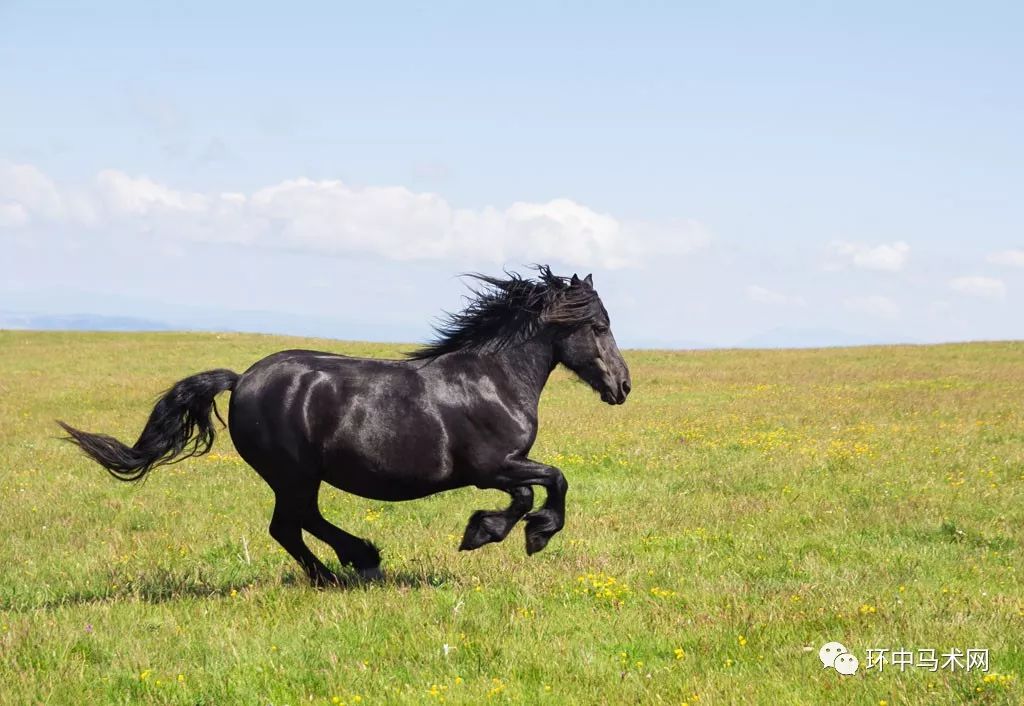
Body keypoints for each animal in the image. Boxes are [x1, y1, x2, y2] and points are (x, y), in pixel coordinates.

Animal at [58, 264, 630, 582]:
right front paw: (519, 534)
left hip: (296, 476)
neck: (492, 379)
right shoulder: (493, 466)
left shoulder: (503, 468)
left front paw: (492, 530)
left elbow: (531, 491)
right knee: (291, 524)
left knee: (293, 524)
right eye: (600, 326)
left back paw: (348, 564)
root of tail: (241, 379)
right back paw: (354, 564)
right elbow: (552, 482)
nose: (623, 387)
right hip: (293, 472)